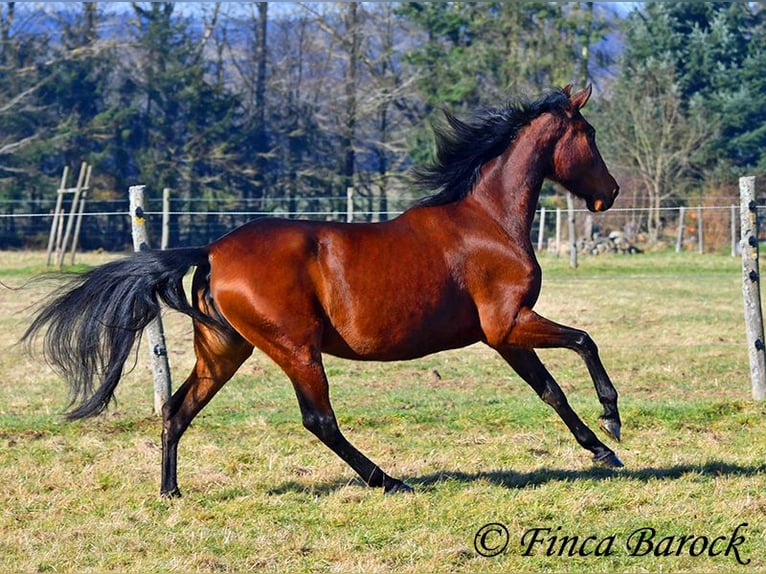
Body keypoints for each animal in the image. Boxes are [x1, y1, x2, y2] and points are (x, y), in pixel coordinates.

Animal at [24, 85, 624, 500]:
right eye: (591, 134)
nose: (611, 193)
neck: (488, 220)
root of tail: (213, 250)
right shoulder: (509, 322)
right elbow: (584, 341)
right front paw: (612, 422)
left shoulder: (502, 335)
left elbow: (550, 391)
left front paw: (601, 451)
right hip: (294, 349)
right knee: (320, 421)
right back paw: (390, 481)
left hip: (224, 350)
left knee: (177, 408)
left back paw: (170, 492)